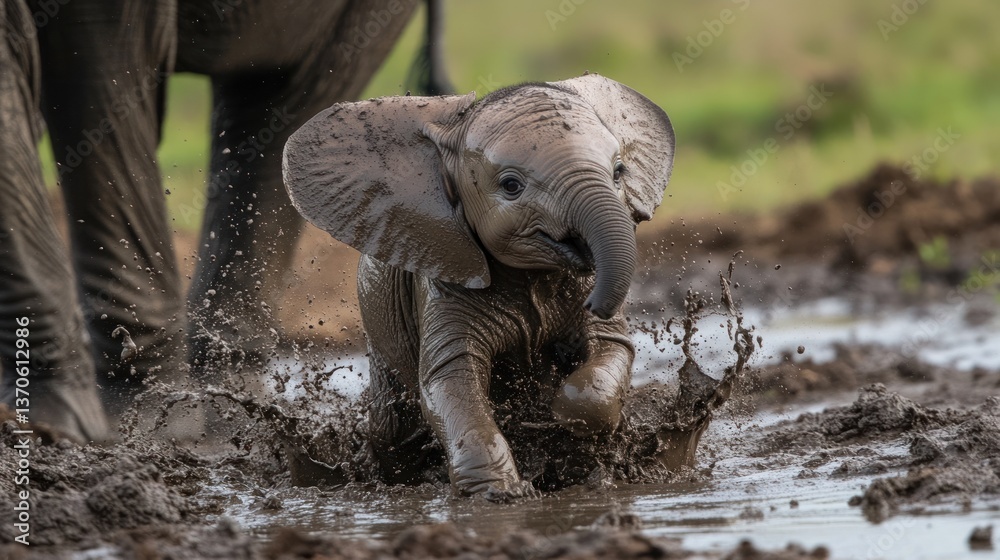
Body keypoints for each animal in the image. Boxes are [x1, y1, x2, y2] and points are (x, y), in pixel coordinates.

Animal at [282, 74, 675, 499]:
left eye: (618, 172)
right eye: (511, 186)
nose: (594, 304)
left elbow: (610, 348)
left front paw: (557, 416)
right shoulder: (442, 276)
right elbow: (450, 379)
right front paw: (501, 494)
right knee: (393, 432)